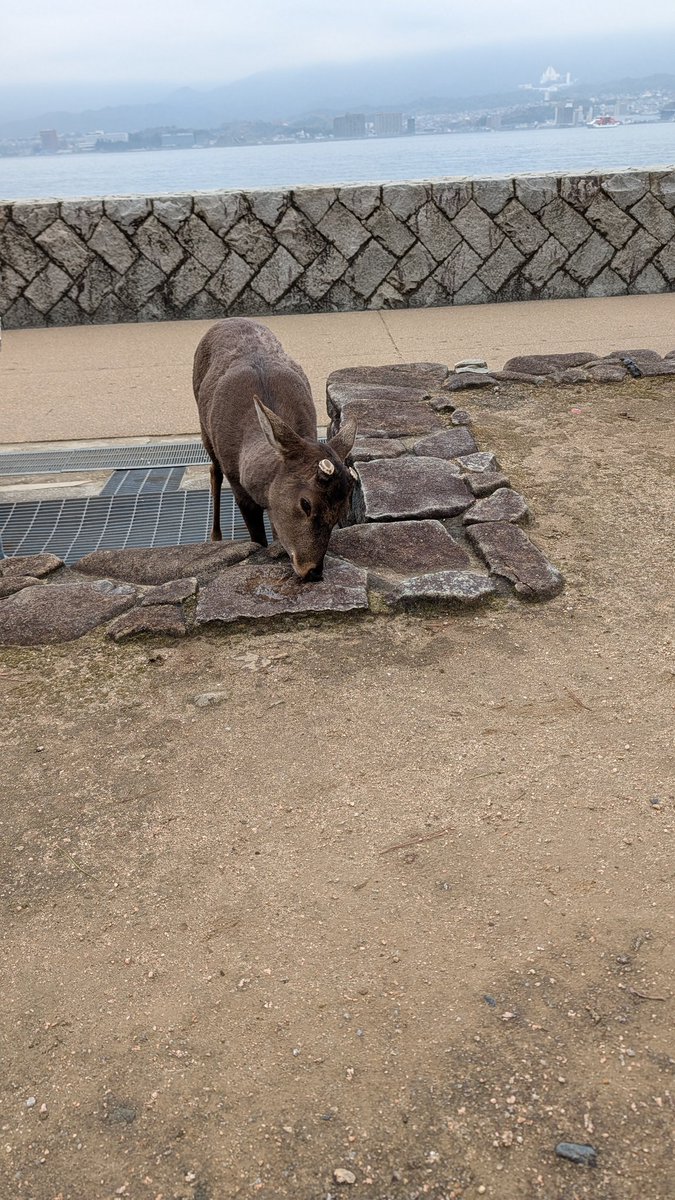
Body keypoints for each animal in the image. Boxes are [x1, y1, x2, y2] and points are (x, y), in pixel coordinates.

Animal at [193, 318, 358, 582]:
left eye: (342, 512)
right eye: (306, 503)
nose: (312, 571)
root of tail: (227, 320)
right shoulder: (239, 486)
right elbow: (257, 539)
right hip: (203, 425)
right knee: (213, 471)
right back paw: (215, 537)